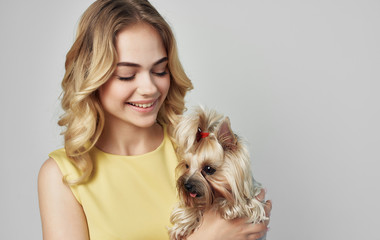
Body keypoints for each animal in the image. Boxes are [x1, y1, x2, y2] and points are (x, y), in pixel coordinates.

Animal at [168, 107, 268, 240]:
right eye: (187, 166)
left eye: (209, 169)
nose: (187, 185)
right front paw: (183, 225)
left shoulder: (254, 203)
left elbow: (242, 203)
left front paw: (229, 206)